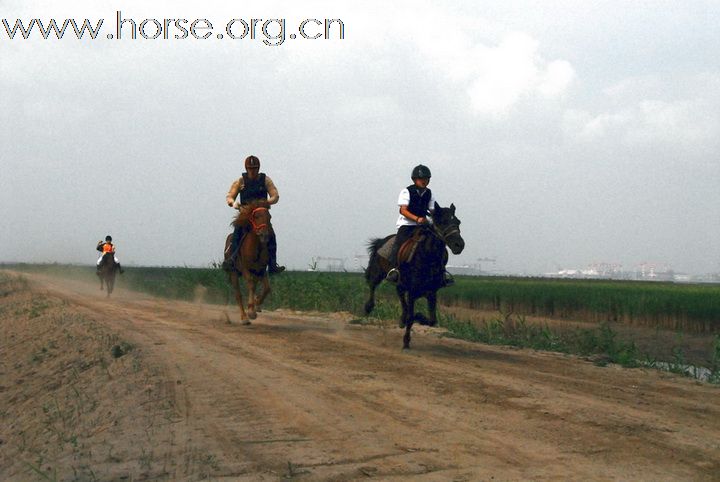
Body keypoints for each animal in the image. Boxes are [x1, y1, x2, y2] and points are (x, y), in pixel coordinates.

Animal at [366, 201, 466, 348]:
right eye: (442, 222)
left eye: (458, 222)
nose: (459, 245)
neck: (427, 257)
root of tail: (382, 240)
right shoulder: (412, 291)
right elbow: (411, 316)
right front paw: (406, 341)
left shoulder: (431, 292)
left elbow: (431, 320)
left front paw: (418, 318)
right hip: (378, 272)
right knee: (372, 285)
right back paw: (368, 307)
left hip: (401, 284)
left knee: (400, 294)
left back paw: (401, 319)